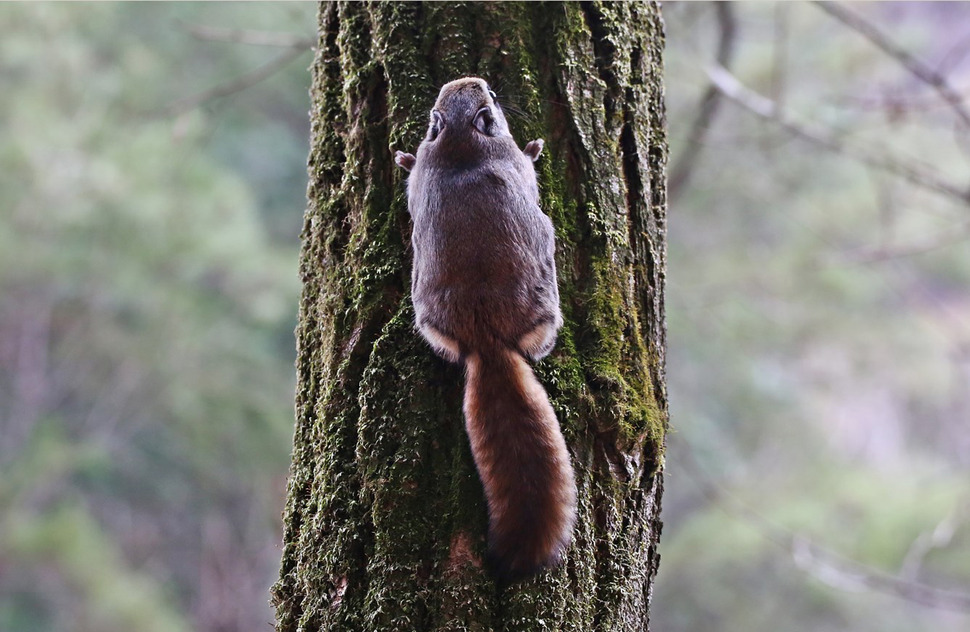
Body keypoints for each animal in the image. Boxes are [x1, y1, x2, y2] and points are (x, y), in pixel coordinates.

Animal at [394, 76, 576, 580]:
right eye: (491, 97)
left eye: (434, 113)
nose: (476, 79)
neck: (461, 145)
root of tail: (487, 342)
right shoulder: (512, 160)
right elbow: (527, 165)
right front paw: (534, 147)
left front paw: (405, 159)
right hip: (545, 308)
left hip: (429, 321)